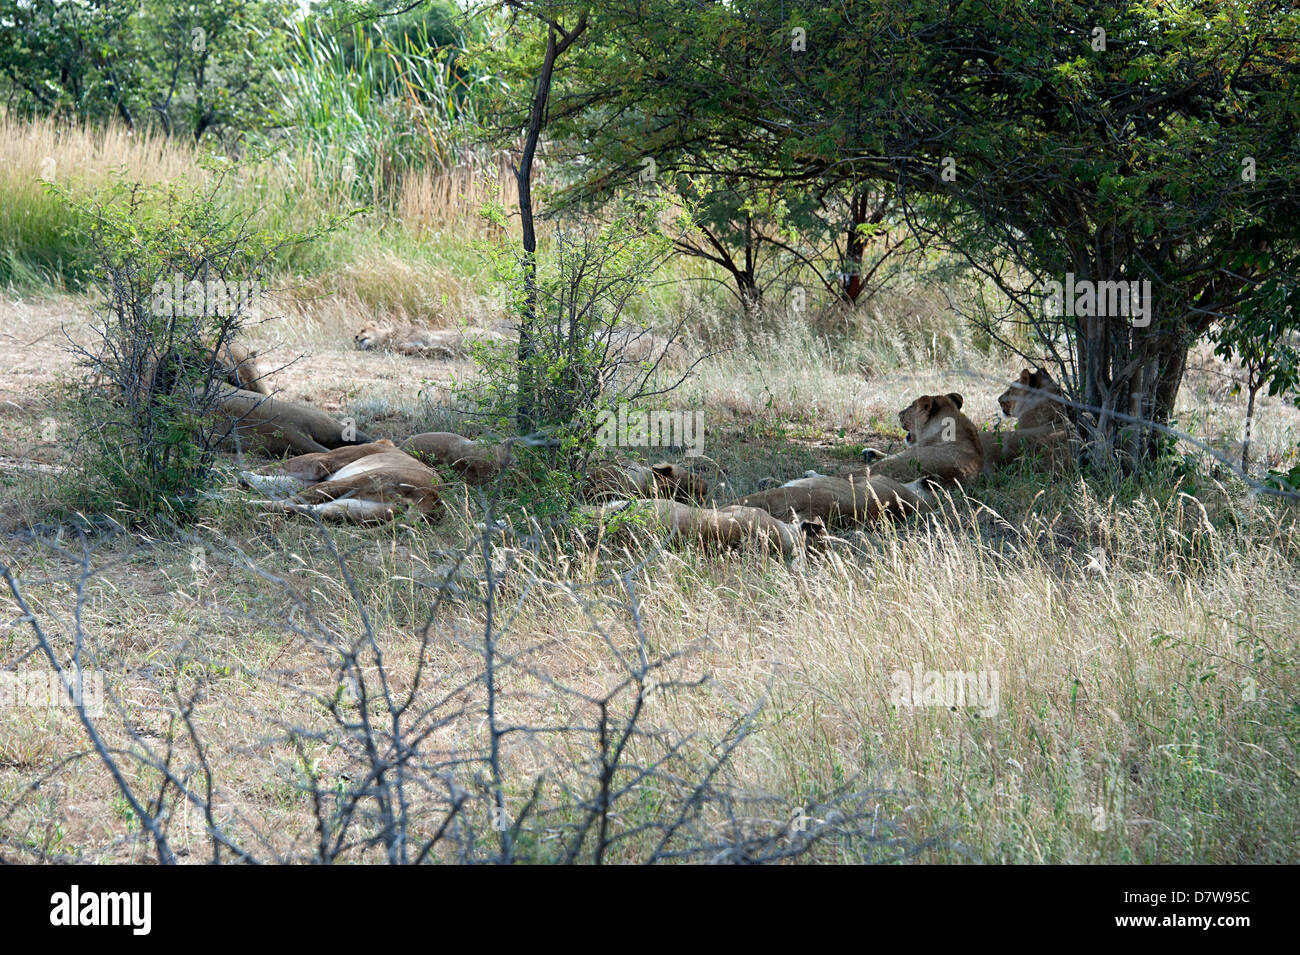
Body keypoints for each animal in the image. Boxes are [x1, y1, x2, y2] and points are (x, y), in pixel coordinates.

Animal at [244, 446, 447, 527]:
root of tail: (432, 498)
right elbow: (283, 480)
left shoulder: (321, 461)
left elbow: (279, 467)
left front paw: (243, 474)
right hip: (355, 508)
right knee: (306, 509)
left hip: (355, 480)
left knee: (290, 501)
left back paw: (243, 502)